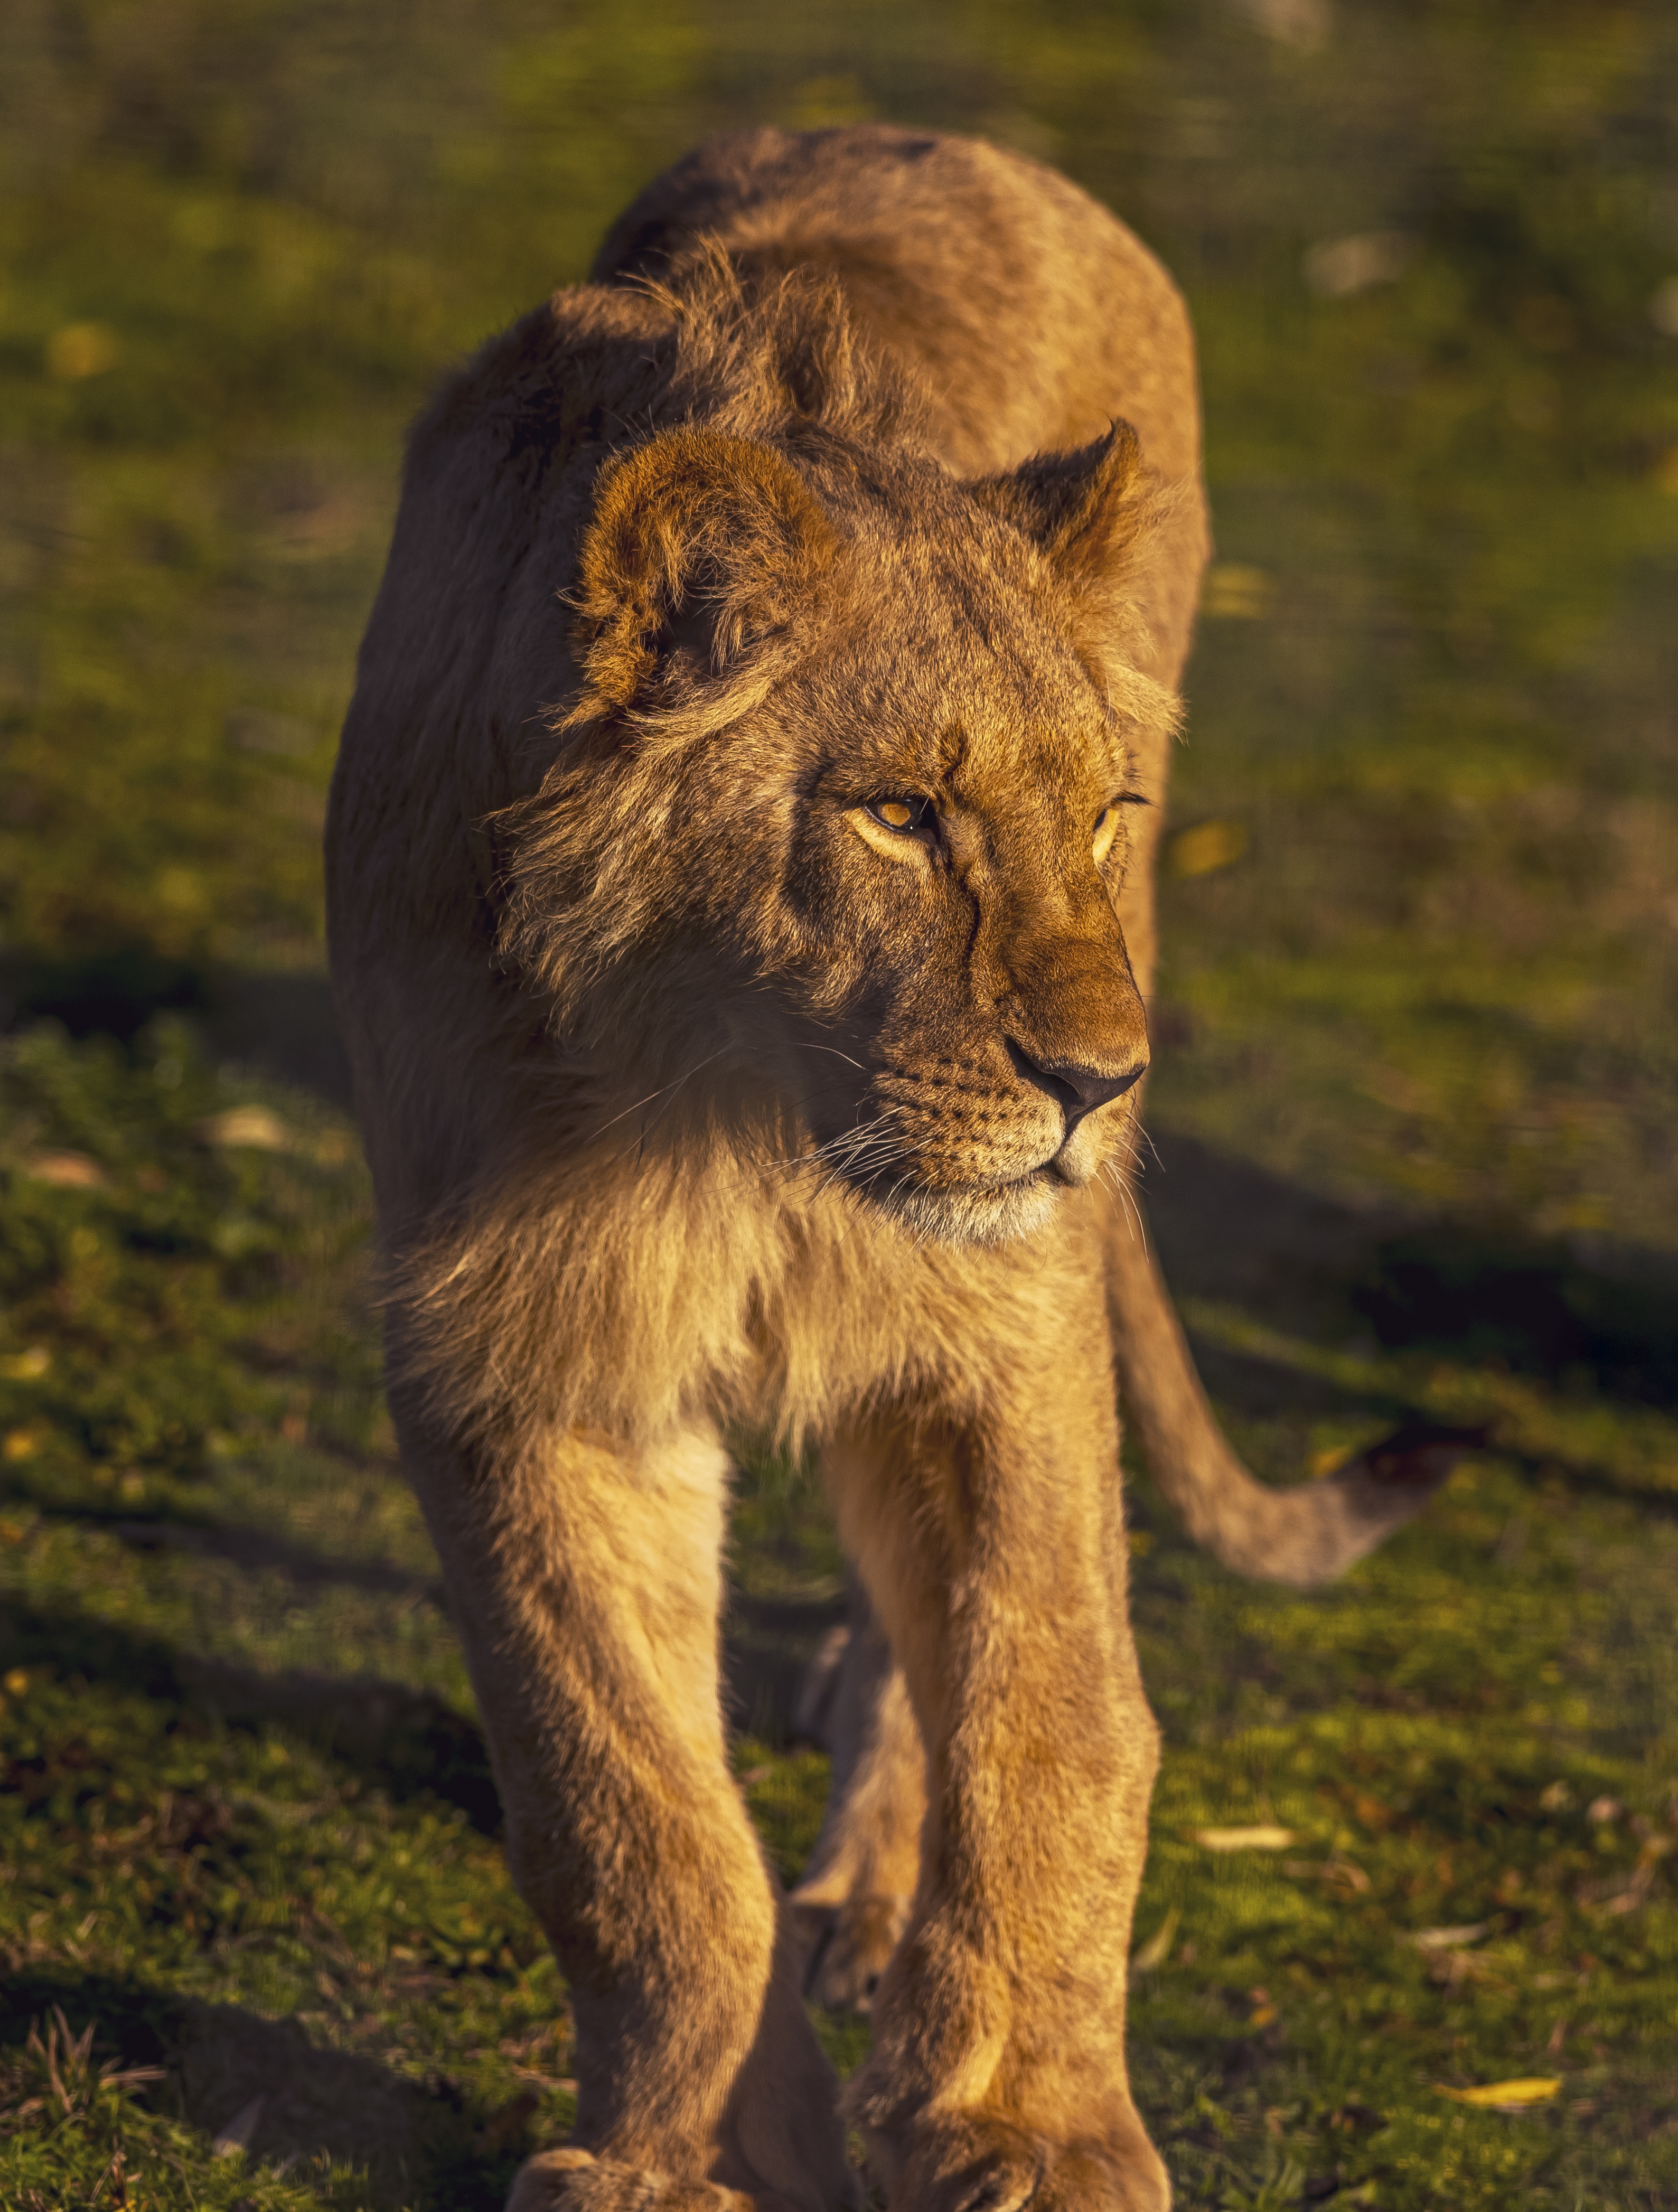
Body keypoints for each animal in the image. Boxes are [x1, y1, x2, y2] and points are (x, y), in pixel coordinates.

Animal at [327, 125, 1466, 2212]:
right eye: (898, 817)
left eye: (1096, 812)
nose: (1102, 1086)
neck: (736, 1116)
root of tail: (957, 145)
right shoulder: (524, 1361)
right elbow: (628, 1816)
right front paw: (676, 2156)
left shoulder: (1006, 1326)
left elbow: (1049, 1723)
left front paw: (1030, 2129)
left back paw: (875, 1886)